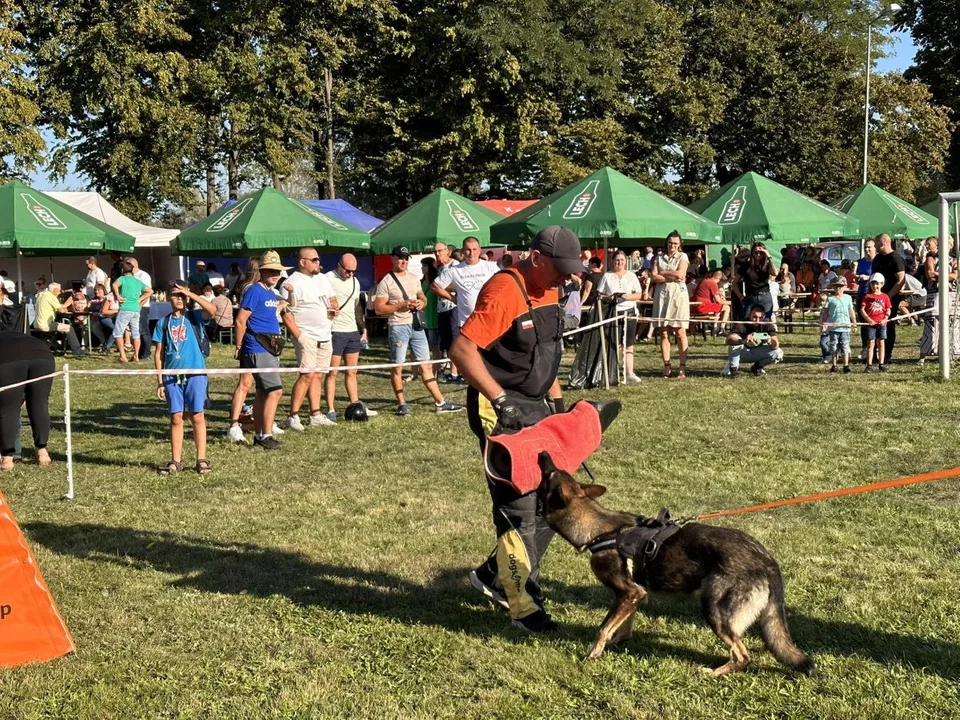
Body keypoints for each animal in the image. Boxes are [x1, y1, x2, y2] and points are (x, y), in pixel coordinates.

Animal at [536, 452, 812, 676]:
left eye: (549, 474)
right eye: (556, 469)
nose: (543, 453)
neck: (599, 531)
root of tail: (767, 561)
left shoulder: (628, 592)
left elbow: (603, 628)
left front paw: (593, 654)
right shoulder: (633, 595)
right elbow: (622, 625)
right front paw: (617, 643)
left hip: (714, 610)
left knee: (743, 656)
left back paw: (712, 672)